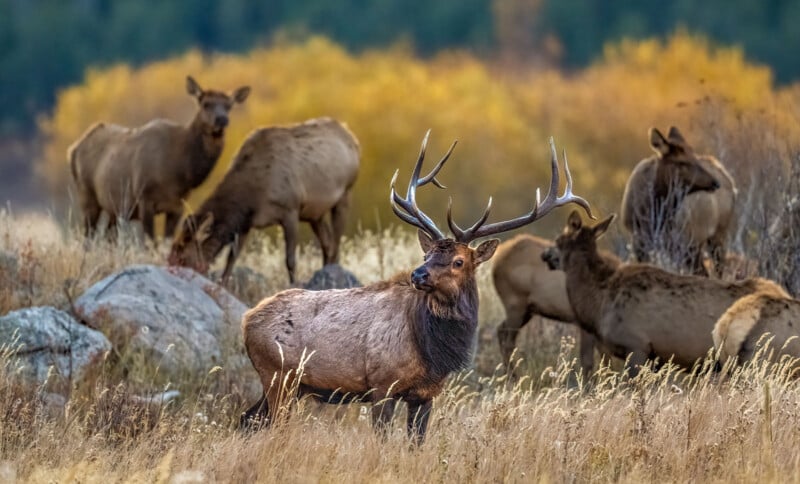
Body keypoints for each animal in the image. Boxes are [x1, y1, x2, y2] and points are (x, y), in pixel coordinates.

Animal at [68, 76, 250, 239]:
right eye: (205, 104)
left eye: (228, 106)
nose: (222, 119)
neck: (181, 172)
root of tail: (73, 150)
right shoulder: (144, 199)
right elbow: (151, 242)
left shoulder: (178, 205)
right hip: (87, 196)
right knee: (88, 238)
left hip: (114, 208)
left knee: (108, 238)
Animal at [168, 117, 360, 284]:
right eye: (170, 255)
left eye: (182, 257)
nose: (170, 271)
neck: (252, 197)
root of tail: (354, 140)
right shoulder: (245, 222)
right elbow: (232, 258)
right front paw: (223, 284)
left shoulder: (291, 209)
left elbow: (290, 260)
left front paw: (294, 284)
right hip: (314, 214)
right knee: (327, 243)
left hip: (345, 193)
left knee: (336, 243)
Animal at [238, 132, 592, 443]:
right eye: (427, 253)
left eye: (458, 261)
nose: (417, 275)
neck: (432, 350)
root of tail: (247, 320)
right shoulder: (381, 386)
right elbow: (382, 440)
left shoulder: (426, 394)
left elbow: (416, 444)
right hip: (278, 376)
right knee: (266, 423)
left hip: (289, 385)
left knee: (247, 418)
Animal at [492, 234, 621, 376]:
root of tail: (497, 259)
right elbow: (588, 362)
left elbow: (606, 360)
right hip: (515, 305)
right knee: (508, 341)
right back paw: (513, 377)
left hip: (527, 310)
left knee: (501, 330)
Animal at [620, 126, 736, 276]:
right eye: (681, 162)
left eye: (694, 157)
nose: (715, 183)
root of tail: (731, 183)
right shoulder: (639, 240)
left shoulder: (683, 242)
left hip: (715, 235)